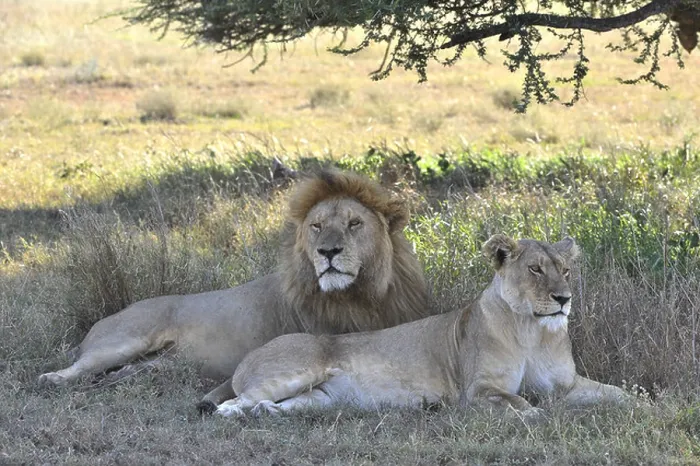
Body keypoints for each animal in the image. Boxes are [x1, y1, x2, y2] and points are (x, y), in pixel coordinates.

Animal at [38, 169, 431, 413]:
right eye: (317, 226)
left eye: (354, 223)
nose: (328, 252)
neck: (359, 295)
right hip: (124, 340)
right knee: (80, 366)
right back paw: (53, 379)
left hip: (152, 365)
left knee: (116, 374)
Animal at [215, 235, 628, 418]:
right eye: (535, 269)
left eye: (566, 270)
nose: (563, 298)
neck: (532, 330)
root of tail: (249, 355)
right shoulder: (476, 390)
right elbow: (521, 402)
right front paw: (535, 414)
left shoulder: (567, 384)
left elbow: (620, 394)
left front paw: (641, 408)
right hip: (295, 371)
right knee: (233, 402)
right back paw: (236, 412)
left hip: (318, 400)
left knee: (277, 404)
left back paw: (266, 413)